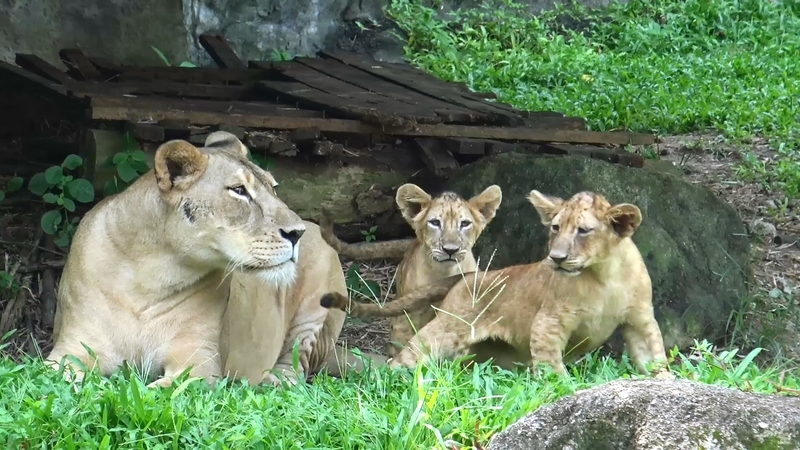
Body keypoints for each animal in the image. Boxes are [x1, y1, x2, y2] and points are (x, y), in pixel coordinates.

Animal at [46, 131, 346, 388]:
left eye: (273, 188)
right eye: (239, 191)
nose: (297, 233)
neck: (148, 279)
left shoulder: (198, 363)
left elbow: (159, 392)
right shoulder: (71, 349)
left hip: (316, 308)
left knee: (298, 364)